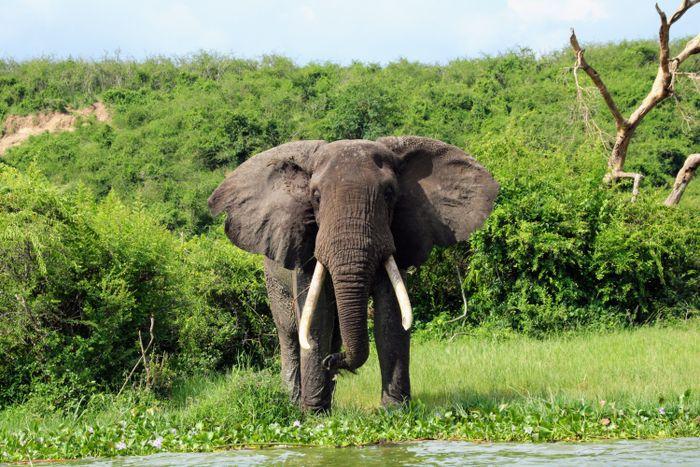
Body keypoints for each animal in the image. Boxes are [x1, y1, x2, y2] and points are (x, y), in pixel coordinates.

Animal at [208, 136, 498, 414]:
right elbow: (316, 320)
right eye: (315, 197)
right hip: (272, 277)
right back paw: (294, 402)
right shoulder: (305, 242)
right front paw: (314, 415)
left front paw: (394, 412)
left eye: (389, 194)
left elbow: (391, 316)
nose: (334, 362)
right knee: (289, 332)